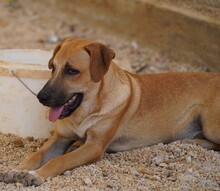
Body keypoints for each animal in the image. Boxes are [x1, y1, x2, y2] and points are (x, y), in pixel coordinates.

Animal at [0, 37, 219, 187]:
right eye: (52, 67)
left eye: (72, 70)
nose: (41, 97)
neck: (85, 111)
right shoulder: (60, 138)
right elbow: (35, 156)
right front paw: (17, 170)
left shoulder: (94, 146)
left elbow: (60, 160)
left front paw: (36, 175)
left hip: (211, 126)